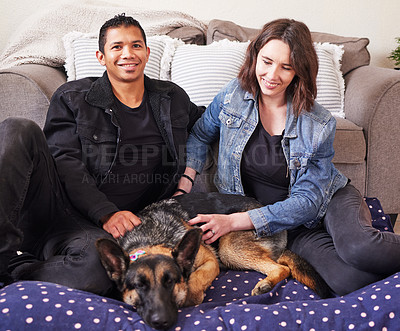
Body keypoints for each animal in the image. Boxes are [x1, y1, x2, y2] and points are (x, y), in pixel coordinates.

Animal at [95, 193, 330, 330]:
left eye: (171, 282)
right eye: (139, 286)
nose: (162, 321)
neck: (151, 238)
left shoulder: (210, 260)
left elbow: (196, 280)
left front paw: (191, 295)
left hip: (228, 249)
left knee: (281, 267)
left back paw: (266, 283)